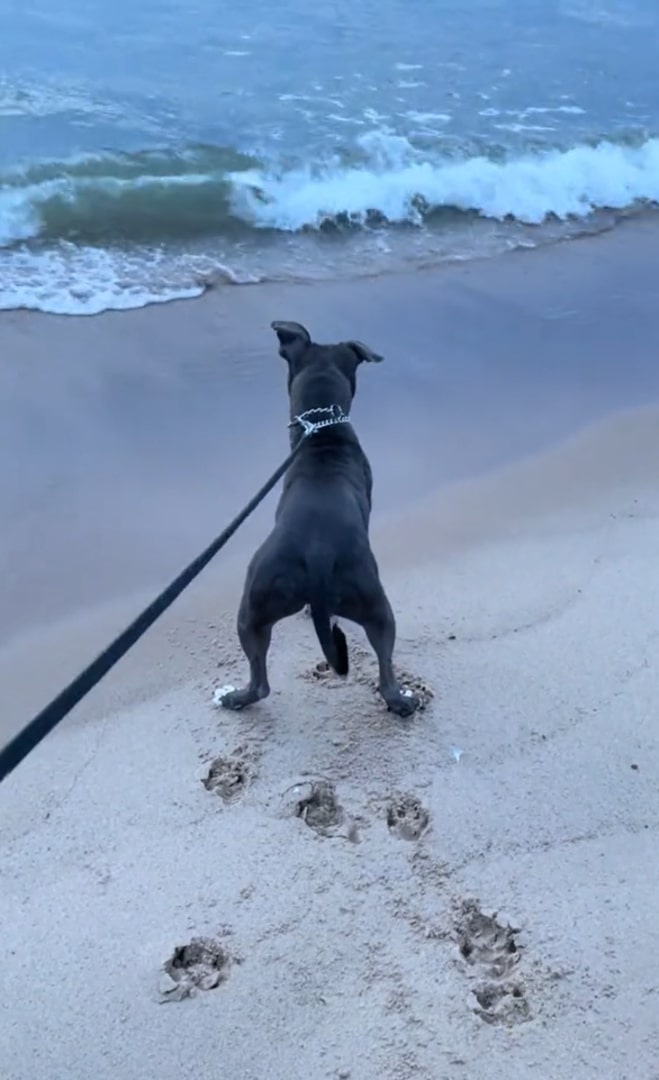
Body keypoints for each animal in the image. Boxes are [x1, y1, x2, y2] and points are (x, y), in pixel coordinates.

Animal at [218, 319, 419, 717]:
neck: (323, 428)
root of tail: (318, 553)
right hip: (373, 602)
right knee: (385, 666)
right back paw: (402, 699)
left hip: (254, 604)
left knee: (260, 679)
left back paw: (236, 698)